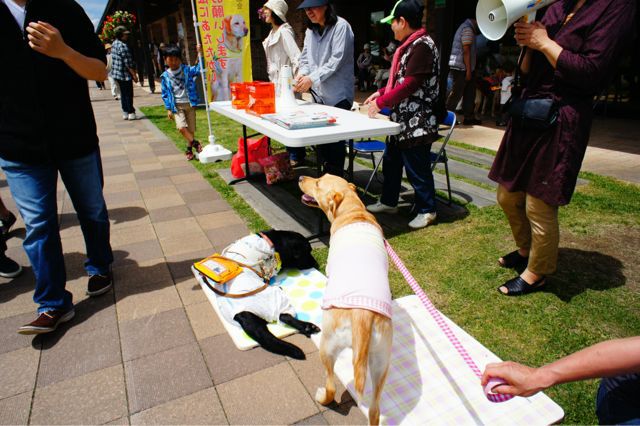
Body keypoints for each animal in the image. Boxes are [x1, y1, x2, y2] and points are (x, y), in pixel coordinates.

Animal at [300, 174, 396, 426]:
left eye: (317, 183)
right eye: (320, 177)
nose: (302, 176)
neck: (353, 211)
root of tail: (363, 316)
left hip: (327, 346)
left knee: (331, 386)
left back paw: (322, 396)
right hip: (382, 362)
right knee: (374, 409)